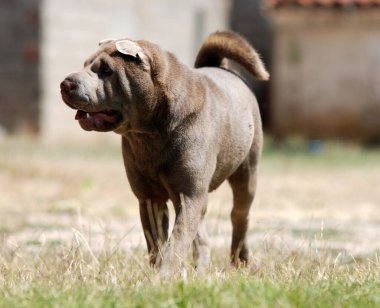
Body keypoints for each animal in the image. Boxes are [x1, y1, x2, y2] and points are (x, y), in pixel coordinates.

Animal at [59, 31, 268, 276]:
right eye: (85, 64)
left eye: (106, 70)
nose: (65, 83)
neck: (149, 132)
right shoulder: (150, 197)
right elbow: (157, 242)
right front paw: (156, 273)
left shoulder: (189, 193)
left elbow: (176, 240)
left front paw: (164, 275)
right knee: (202, 232)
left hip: (247, 170)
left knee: (239, 215)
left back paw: (239, 261)